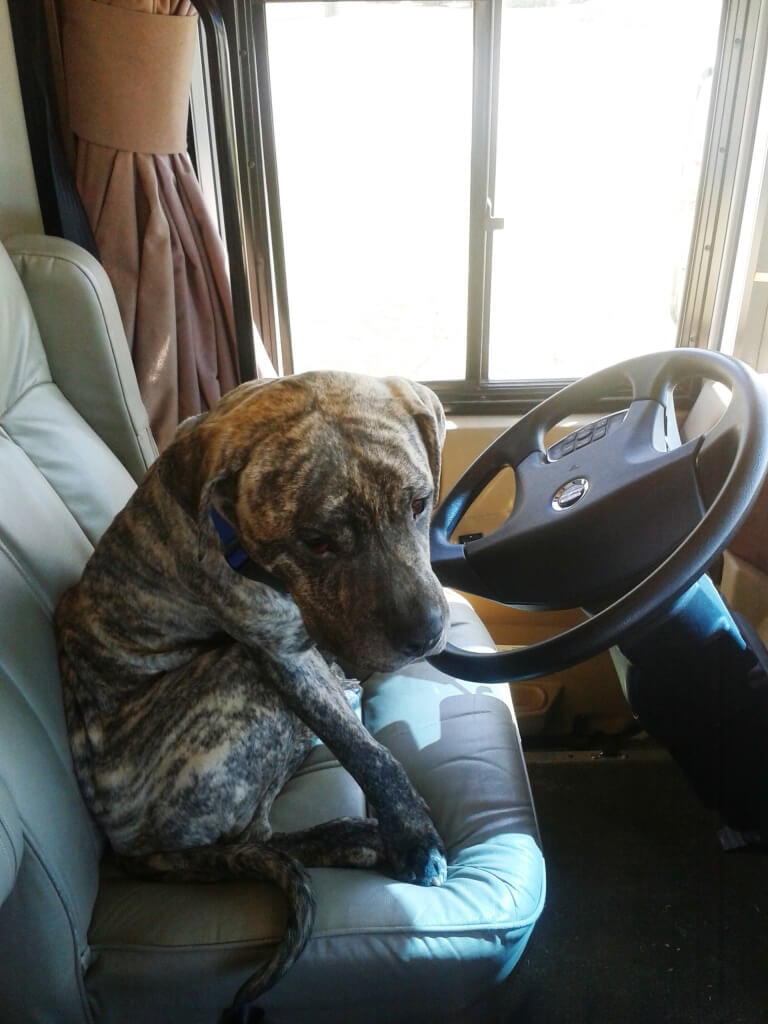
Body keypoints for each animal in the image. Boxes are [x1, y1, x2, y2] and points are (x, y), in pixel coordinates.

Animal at [57, 370, 454, 1015]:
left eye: (420, 505)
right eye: (317, 542)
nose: (425, 636)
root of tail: (123, 845)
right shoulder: (280, 653)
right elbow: (368, 753)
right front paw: (413, 837)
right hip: (237, 679)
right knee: (258, 838)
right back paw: (350, 838)